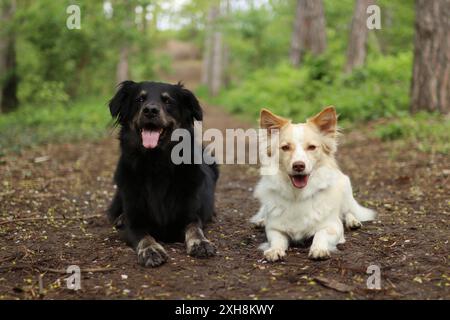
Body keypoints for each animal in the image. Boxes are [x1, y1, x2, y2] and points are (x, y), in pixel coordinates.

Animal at [106, 80, 217, 268]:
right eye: (140, 99)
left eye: (167, 101)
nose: (150, 110)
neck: (156, 164)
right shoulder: (135, 221)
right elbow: (144, 237)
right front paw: (151, 250)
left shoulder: (190, 215)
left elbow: (194, 228)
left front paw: (200, 243)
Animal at [251, 106, 374, 262]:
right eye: (285, 148)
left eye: (311, 147)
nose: (298, 166)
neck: (298, 196)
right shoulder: (274, 229)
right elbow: (277, 239)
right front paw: (274, 250)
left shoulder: (333, 226)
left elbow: (320, 234)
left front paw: (319, 249)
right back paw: (261, 220)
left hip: (346, 189)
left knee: (348, 211)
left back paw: (353, 221)